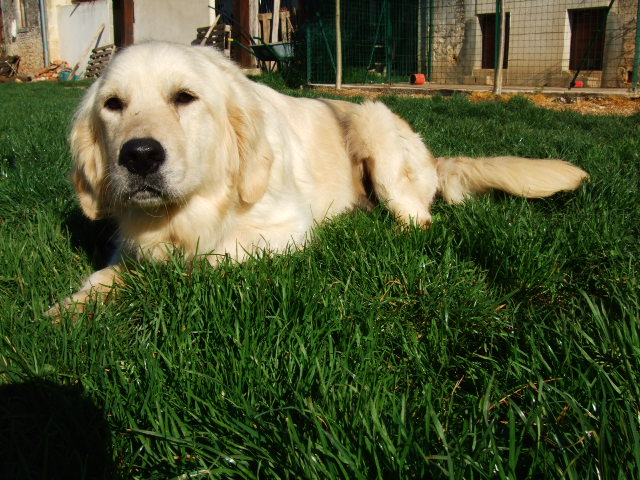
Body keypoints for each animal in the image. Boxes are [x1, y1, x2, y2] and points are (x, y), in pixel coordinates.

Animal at [50, 41, 589, 315]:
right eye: (113, 105)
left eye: (185, 97)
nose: (139, 156)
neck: (185, 213)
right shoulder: (130, 241)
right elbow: (109, 272)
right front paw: (74, 305)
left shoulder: (285, 230)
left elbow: (201, 262)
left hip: (375, 126)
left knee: (419, 217)